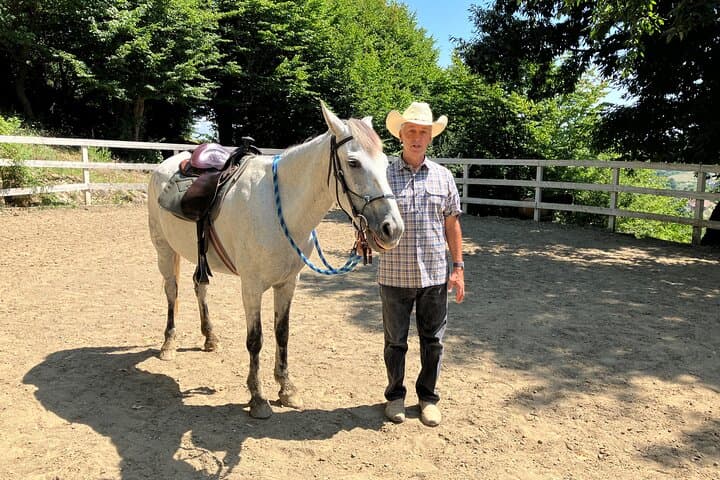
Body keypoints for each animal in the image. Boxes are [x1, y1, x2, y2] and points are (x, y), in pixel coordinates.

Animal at [147, 101, 404, 418]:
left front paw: (287, 389)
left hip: (198, 254)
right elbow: (255, 339)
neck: (278, 208)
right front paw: (258, 397)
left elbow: (282, 333)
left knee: (200, 287)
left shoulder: (287, 283)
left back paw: (210, 338)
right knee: (172, 292)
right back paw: (168, 344)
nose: (392, 229)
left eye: (385, 164)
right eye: (353, 163)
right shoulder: (251, 287)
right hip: (164, 249)